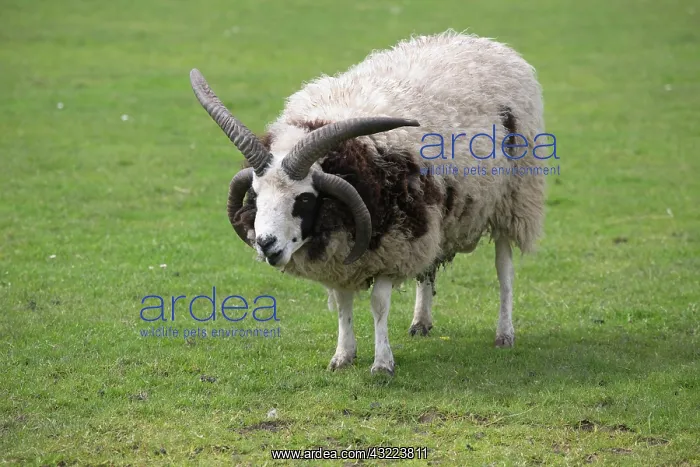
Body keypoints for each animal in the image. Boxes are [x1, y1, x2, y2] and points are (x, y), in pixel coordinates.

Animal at [189, 30, 547, 375]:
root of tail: (482, 42)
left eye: (304, 198)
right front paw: (342, 356)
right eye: (256, 194)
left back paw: (504, 333)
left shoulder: (394, 244)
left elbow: (378, 304)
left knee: (504, 271)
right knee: (428, 269)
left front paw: (382, 364)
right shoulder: (351, 253)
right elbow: (342, 304)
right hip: (430, 220)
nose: (265, 245)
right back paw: (421, 322)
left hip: (511, 201)